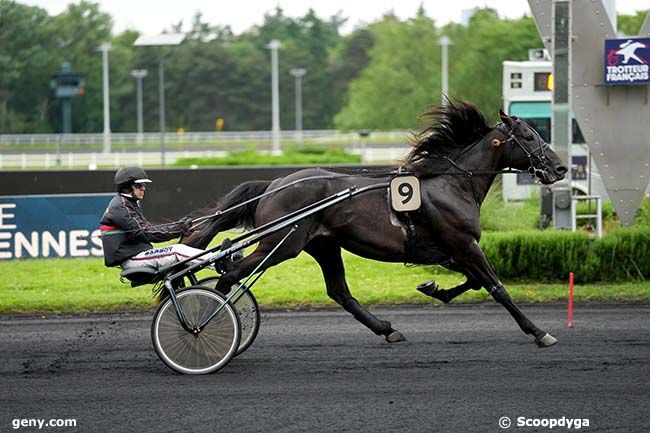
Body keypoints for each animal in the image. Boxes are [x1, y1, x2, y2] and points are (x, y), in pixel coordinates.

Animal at [182, 101, 560, 348]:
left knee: (339, 292)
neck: (451, 185)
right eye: (529, 136)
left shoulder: (450, 251)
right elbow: (496, 287)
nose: (559, 168)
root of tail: (275, 184)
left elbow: (474, 282)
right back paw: (209, 321)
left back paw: (387, 329)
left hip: (323, 245)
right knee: (231, 273)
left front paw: (433, 288)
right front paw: (538, 332)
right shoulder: (465, 245)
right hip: (282, 245)